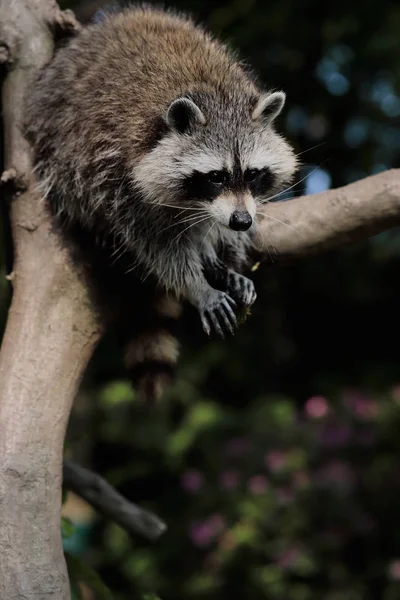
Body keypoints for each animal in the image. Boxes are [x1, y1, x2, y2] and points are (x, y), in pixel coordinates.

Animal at [21, 4, 296, 400]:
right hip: (56, 145)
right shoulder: (118, 173)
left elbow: (215, 225)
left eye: (253, 174)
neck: (216, 95)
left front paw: (221, 255)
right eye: (216, 176)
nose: (242, 221)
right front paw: (196, 284)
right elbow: (156, 245)